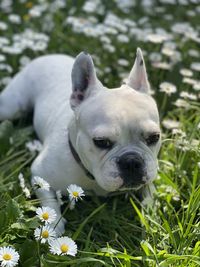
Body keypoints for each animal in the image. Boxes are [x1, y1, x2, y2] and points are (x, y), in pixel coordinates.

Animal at [0, 48, 161, 234]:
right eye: (101, 142)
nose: (132, 161)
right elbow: (49, 200)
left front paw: (152, 218)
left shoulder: (149, 175)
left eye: (154, 137)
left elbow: (150, 194)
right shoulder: (40, 174)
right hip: (11, 107)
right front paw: (53, 226)